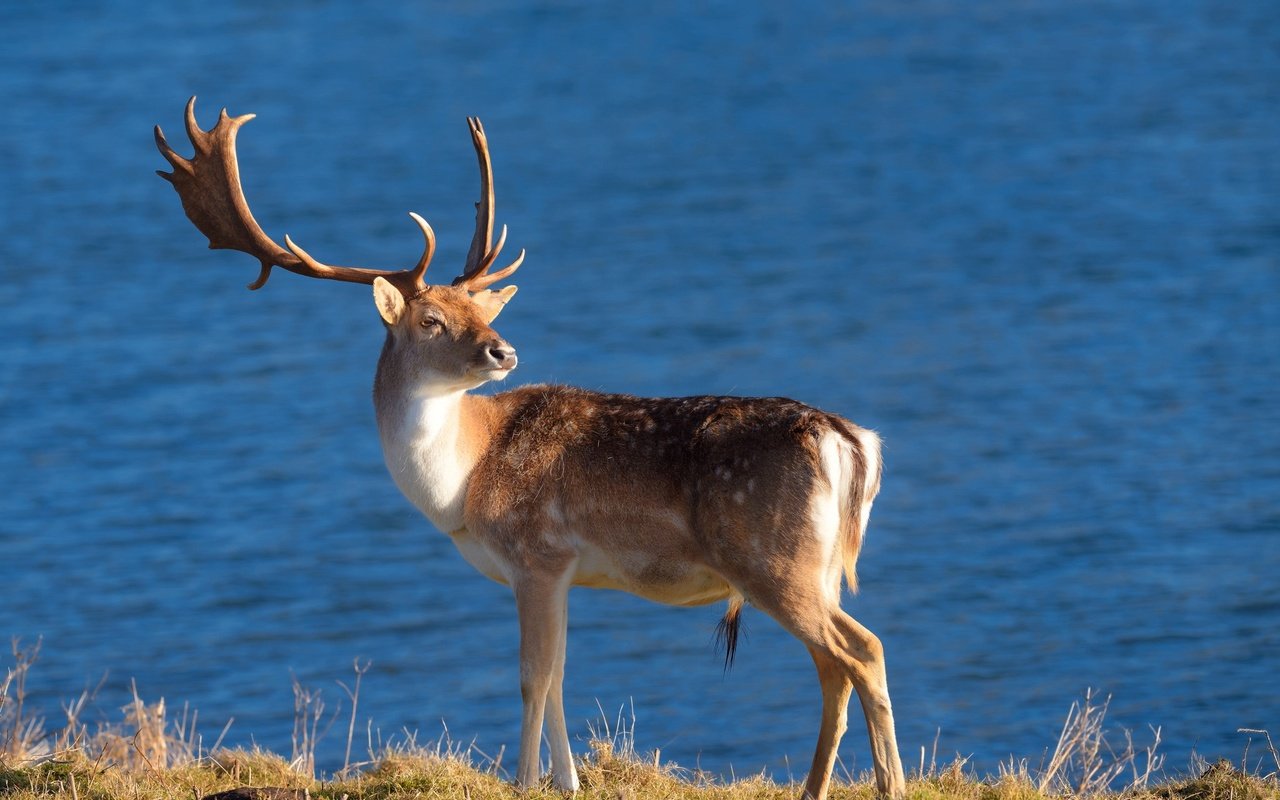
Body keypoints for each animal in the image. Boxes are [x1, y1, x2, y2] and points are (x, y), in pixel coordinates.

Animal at [152, 98, 911, 798]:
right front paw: (567, 779)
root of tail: (853, 441)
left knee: (861, 650)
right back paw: (823, 786)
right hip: (812, 567)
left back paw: (889, 783)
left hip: (772, 558)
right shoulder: (563, 571)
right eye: (432, 319)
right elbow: (562, 676)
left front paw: (523, 781)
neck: (463, 482)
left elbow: (531, 677)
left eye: (480, 310)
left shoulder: (536, 554)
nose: (502, 349)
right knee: (840, 661)